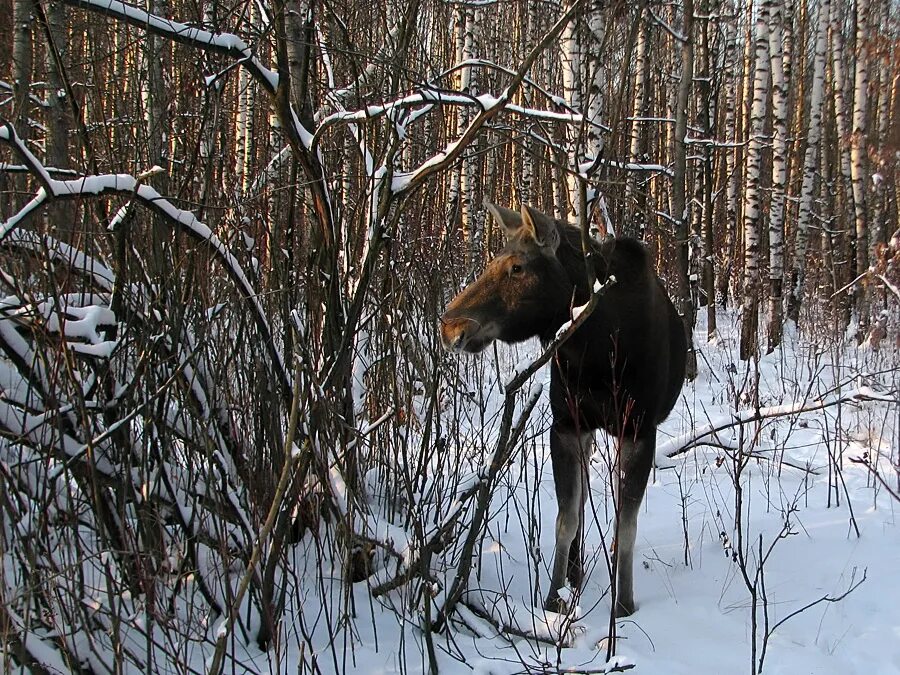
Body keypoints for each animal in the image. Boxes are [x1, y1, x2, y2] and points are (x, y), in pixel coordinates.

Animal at [440, 201, 684, 616]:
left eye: (517, 267)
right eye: (494, 261)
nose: (450, 325)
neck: (598, 350)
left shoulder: (638, 430)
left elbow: (626, 525)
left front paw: (624, 604)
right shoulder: (568, 425)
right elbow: (565, 519)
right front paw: (554, 599)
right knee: (582, 504)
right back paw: (575, 572)